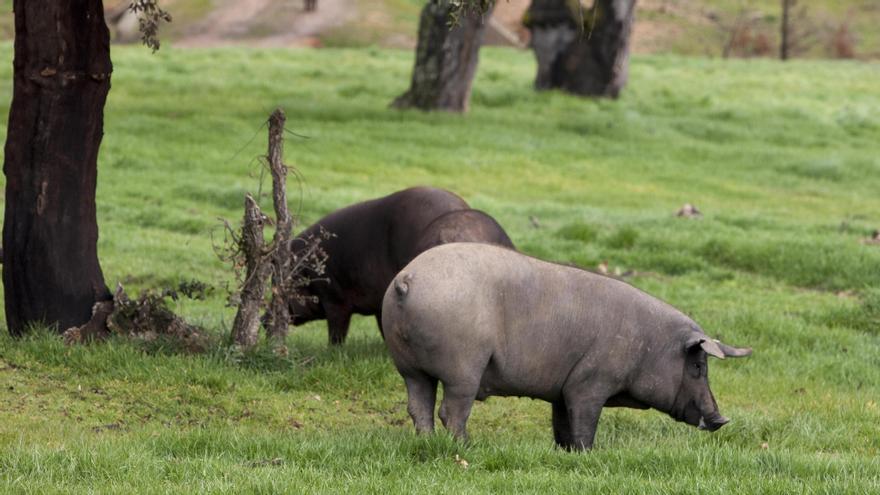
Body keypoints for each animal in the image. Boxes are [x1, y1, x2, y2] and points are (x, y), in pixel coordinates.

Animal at [382, 242, 752, 452]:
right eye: (698, 366)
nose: (721, 418)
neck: (649, 345)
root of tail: (406, 280)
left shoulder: (561, 390)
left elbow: (562, 424)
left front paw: (565, 453)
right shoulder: (590, 382)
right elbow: (585, 422)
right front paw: (590, 454)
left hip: (409, 367)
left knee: (418, 407)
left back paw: (428, 443)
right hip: (464, 367)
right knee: (451, 410)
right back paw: (468, 448)